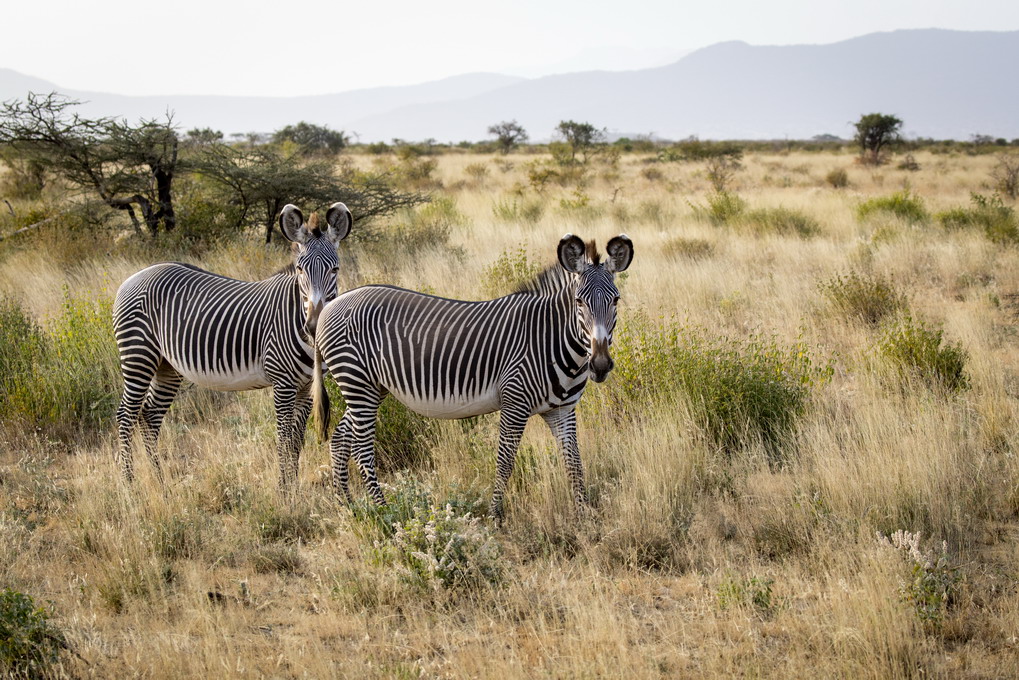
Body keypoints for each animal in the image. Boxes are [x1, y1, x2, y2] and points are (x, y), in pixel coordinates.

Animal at [113, 202, 352, 487]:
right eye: (300, 269)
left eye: (335, 270)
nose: (313, 328)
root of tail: (133, 277)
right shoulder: (283, 383)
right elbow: (283, 440)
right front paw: (284, 490)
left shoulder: (305, 387)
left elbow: (296, 441)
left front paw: (293, 487)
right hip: (138, 355)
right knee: (126, 416)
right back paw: (129, 483)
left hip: (166, 366)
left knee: (149, 416)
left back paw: (160, 481)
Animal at [312, 233, 633, 518]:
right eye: (579, 302)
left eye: (616, 300)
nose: (600, 365)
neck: (550, 339)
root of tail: (331, 305)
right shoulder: (515, 403)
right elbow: (505, 461)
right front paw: (495, 516)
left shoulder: (562, 410)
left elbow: (575, 463)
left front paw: (584, 517)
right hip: (357, 381)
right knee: (362, 448)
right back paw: (384, 511)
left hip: (370, 388)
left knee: (340, 439)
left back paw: (347, 506)